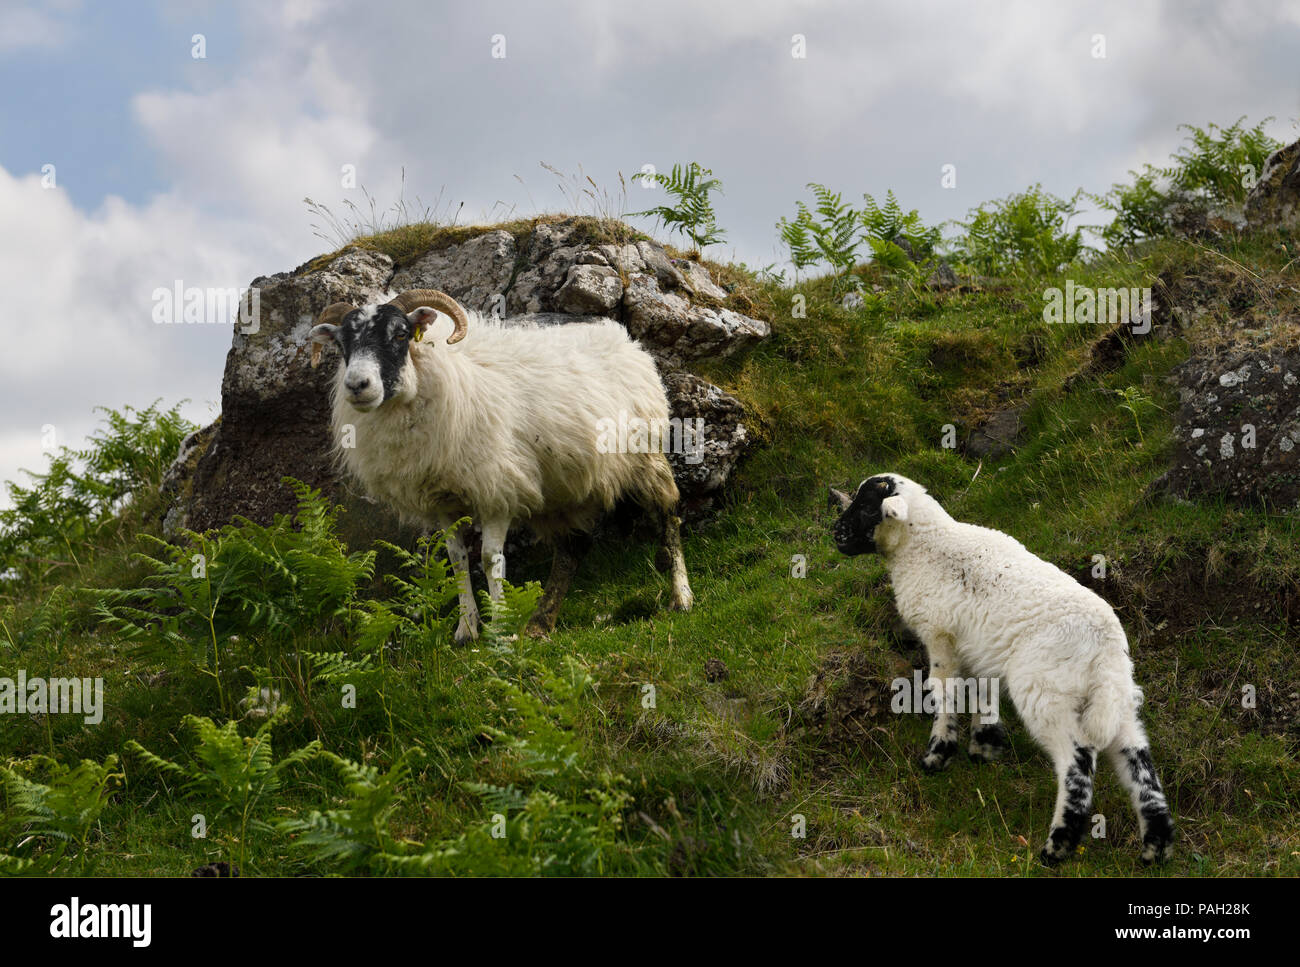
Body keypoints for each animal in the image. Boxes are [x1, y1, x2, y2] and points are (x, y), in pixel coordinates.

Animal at [832, 473, 1180, 863]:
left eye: (866, 507)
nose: (835, 533)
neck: (923, 548)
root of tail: (1104, 643)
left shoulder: (940, 636)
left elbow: (944, 692)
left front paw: (938, 754)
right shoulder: (979, 646)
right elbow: (982, 690)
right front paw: (984, 747)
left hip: (1045, 690)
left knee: (1077, 763)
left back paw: (1057, 847)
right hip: (1114, 697)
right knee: (1139, 762)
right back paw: (1155, 848)